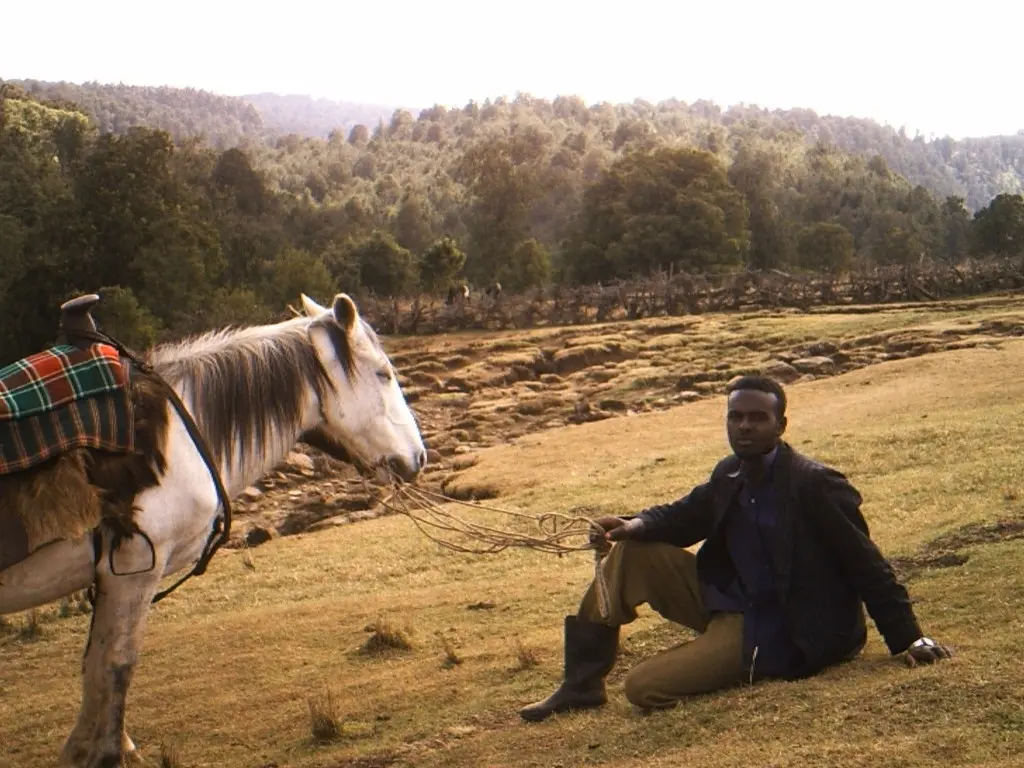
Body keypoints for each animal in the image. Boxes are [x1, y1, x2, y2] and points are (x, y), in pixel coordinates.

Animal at [0, 292, 423, 768]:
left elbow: (95, 665)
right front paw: (108, 752)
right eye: (383, 373)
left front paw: (88, 748)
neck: (181, 433)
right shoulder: (133, 570)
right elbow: (116, 664)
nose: (418, 457)